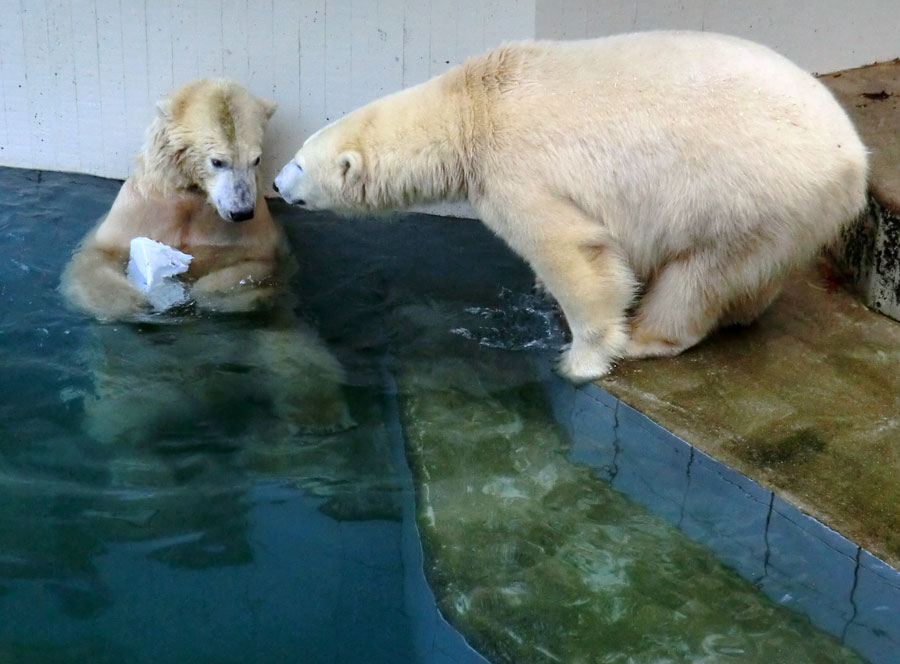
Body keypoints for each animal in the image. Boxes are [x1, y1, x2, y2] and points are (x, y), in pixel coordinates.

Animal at [276, 31, 872, 384]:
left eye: (301, 163)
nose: (278, 183)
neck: (470, 108)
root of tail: (855, 160)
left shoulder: (516, 169)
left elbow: (572, 250)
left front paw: (580, 360)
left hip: (750, 194)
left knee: (703, 272)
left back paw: (648, 338)